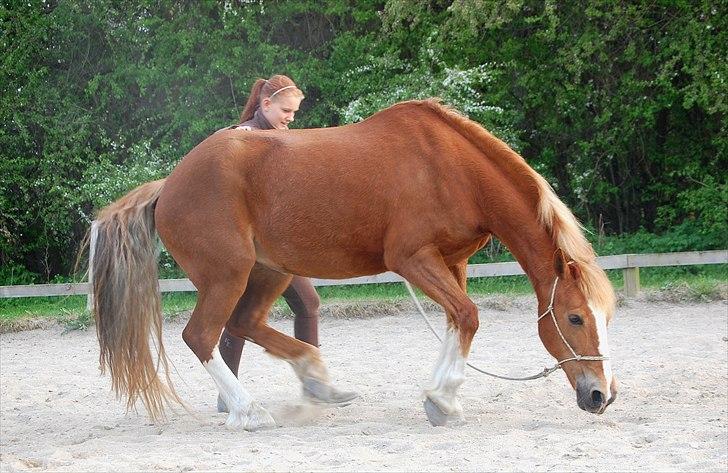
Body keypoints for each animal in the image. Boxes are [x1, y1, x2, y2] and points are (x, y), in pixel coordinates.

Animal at [88, 99, 616, 432]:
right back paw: (250, 411)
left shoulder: (453, 263)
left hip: (270, 270)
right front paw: (443, 400)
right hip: (228, 275)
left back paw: (316, 379)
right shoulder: (413, 259)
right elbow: (468, 315)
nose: (601, 395)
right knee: (202, 335)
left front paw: (442, 402)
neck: (450, 169)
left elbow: (458, 319)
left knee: (244, 324)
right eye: (574, 318)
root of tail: (168, 185)